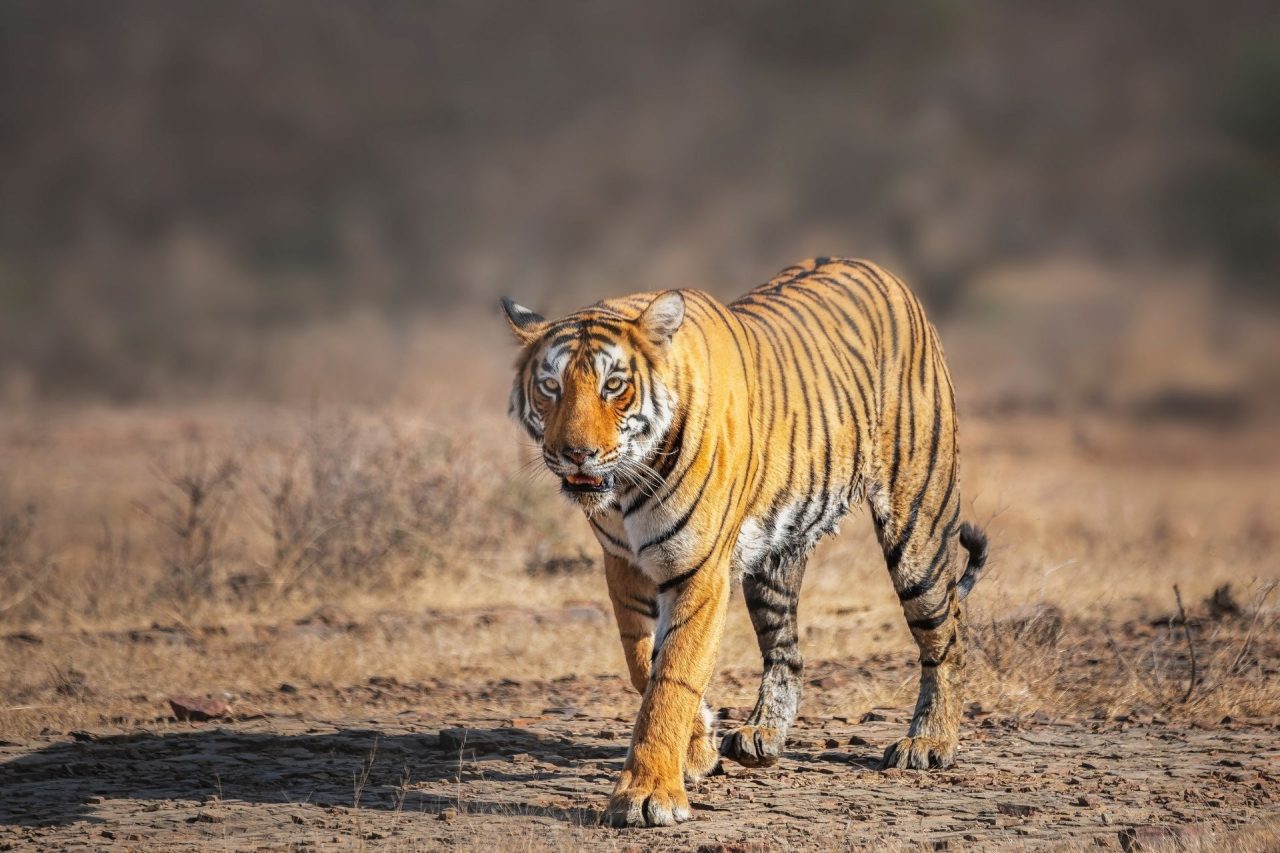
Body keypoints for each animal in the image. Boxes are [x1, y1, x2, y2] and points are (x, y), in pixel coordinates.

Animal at [499, 253, 988, 824]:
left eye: (613, 385)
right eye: (550, 387)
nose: (575, 454)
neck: (624, 490)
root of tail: (876, 267)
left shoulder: (700, 570)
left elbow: (673, 677)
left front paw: (648, 794)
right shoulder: (623, 566)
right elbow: (644, 664)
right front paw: (698, 748)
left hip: (917, 527)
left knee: (946, 634)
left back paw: (929, 743)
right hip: (771, 563)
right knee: (787, 652)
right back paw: (762, 736)